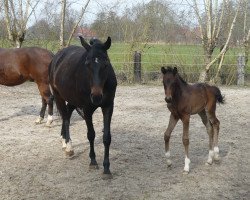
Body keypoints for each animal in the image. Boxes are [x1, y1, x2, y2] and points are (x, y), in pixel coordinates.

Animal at [48, 35, 117, 178]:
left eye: (106, 64)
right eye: (87, 64)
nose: (96, 96)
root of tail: (56, 57)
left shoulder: (108, 106)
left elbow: (107, 137)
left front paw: (106, 168)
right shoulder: (87, 109)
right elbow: (91, 134)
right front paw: (93, 161)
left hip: (72, 100)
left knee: (67, 114)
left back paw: (64, 140)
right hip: (58, 96)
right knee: (65, 118)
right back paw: (68, 147)